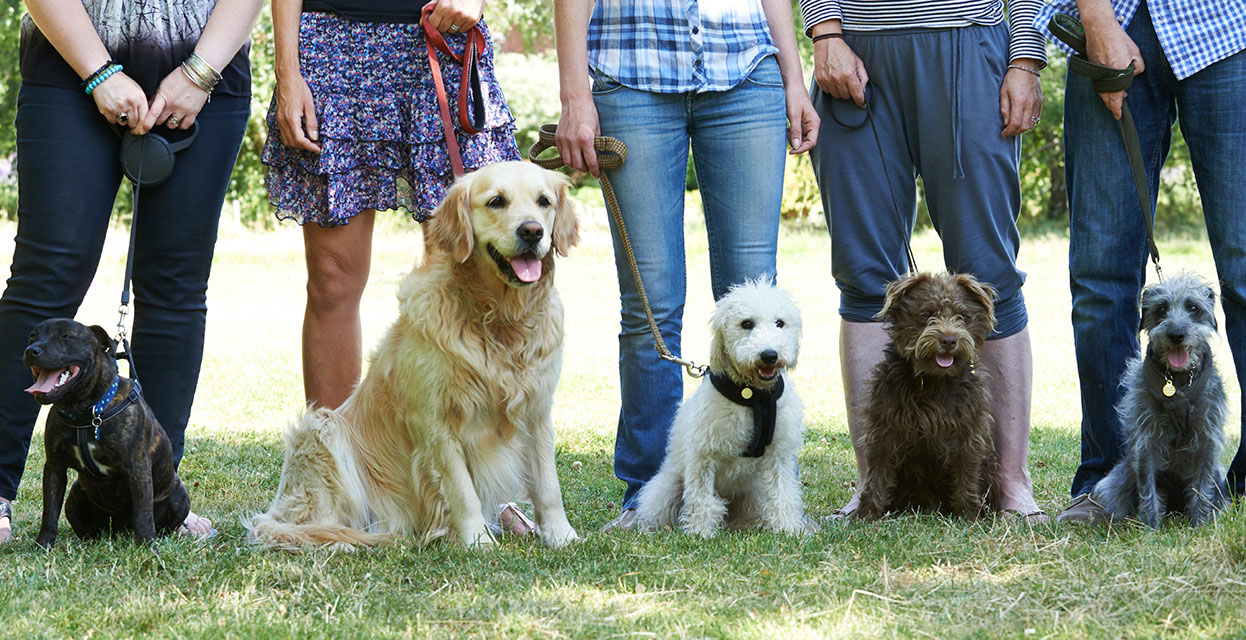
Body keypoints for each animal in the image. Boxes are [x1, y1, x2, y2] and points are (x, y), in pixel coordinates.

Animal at [23, 316, 188, 545]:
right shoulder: (54, 467)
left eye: (66, 336)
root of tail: (122, 530)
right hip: (74, 496)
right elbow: (49, 511)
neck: (87, 413)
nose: (32, 350)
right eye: (32, 336)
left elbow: (143, 513)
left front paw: (147, 546)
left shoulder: (138, 469)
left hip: (181, 496)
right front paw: (43, 544)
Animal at [637, 278, 802, 532]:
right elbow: (702, 499)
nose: (769, 355)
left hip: (753, 494)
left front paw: (787, 529)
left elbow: (782, 494)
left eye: (779, 323)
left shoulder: (779, 455)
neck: (752, 397)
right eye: (746, 323)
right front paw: (700, 531)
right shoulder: (703, 455)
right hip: (667, 488)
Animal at [1096, 271, 1231, 525]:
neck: (1178, 381)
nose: (1176, 334)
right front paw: (1150, 526)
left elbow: (1202, 485)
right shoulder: (1146, 440)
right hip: (1119, 478)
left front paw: (1200, 524)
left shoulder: (1207, 439)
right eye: (1161, 309)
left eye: (1193, 307)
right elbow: (1148, 487)